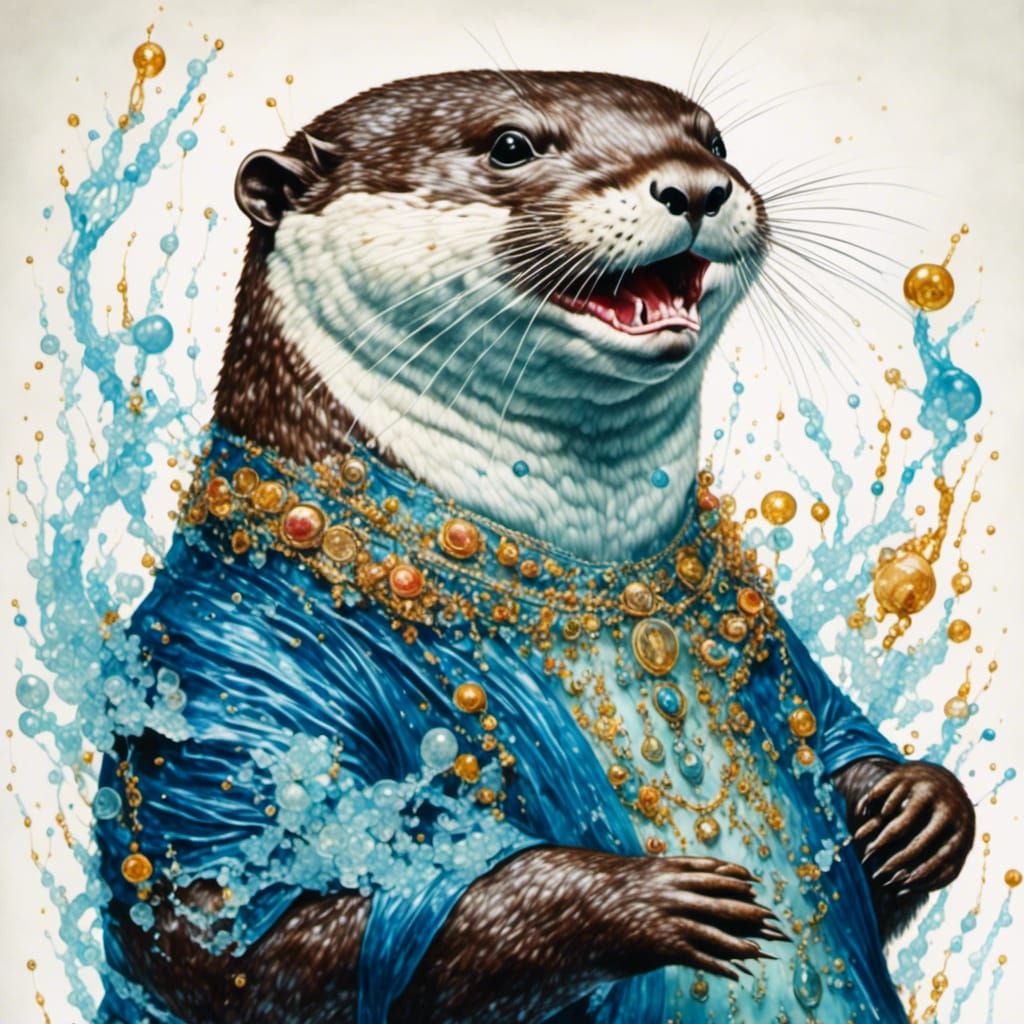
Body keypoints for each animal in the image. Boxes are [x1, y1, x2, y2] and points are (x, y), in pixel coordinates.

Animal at [96, 71, 974, 1023]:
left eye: (715, 140)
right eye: (510, 145)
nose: (696, 186)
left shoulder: (766, 636)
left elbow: (835, 746)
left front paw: (917, 803)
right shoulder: (222, 670)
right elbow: (225, 934)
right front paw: (637, 901)